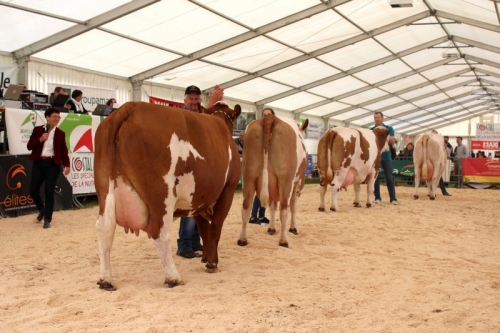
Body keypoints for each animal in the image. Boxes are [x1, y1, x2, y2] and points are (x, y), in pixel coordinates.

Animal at [95, 100, 242, 288]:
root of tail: (130, 107)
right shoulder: (227, 191)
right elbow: (214, 229)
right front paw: (212, 263)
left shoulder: (197, 201)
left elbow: (203, 230)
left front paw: (205, 257)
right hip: (162, 195)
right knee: (161, 233)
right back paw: (173, 277)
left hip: (105, 189)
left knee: (104, 229)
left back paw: (105, 280)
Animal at [236, 115, 306, 246]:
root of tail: (270, 117)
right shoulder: (299, 182)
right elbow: (294, 206)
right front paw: (294, 228)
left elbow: (273, 206)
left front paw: (271, 228)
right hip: (286, 181)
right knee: (284, 208)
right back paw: (284, 240)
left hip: (248, 176)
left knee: (246, 207)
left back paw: (242, 239)